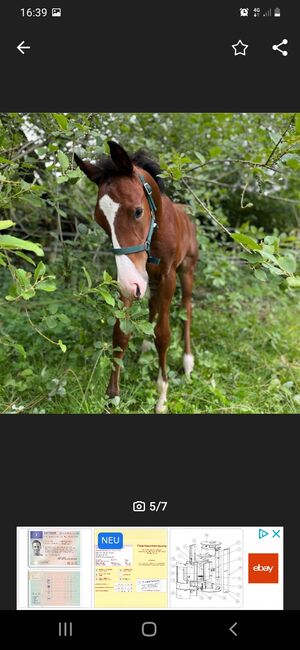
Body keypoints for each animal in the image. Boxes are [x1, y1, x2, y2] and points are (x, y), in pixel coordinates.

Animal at [75, 143, 198, 416]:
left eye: (138, 211)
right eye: (101, 221)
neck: (156, 232)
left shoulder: (167, 277)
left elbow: (164, 334)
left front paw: (161, 397)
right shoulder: (130, 279)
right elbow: (120, 333)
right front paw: (112, 397)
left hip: (186, 270)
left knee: (186, 308)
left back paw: (187, 362)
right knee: (152, 305)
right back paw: (145, 347)